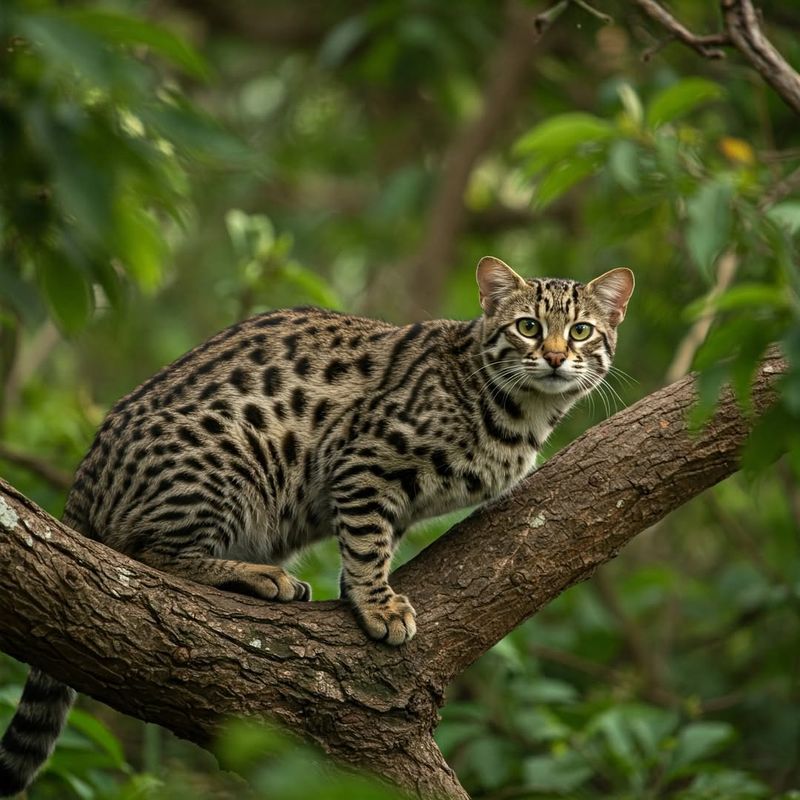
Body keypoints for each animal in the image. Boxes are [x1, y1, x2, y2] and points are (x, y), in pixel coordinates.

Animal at [1, 258, 636, 792]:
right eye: (528, 326)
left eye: (581, 331)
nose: (554, 356)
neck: (522, 414)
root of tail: (87, 470)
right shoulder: (366, 462)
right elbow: (367, 542)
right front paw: (379, 605)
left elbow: (371, 541)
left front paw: (358, 594)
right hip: (228, 453)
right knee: (141, 555)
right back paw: (257, 576)